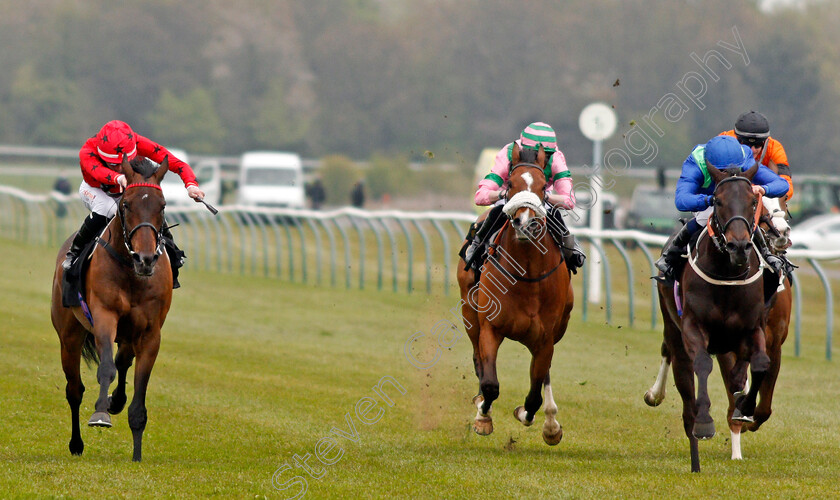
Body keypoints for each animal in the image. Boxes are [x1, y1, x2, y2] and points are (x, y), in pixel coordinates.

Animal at [49, 155, 174, 460]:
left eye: (162, 206)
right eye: (126, 204)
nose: (145, 259)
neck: (131, 271)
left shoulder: (150, 333)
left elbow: (139, 389)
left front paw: (137, 453)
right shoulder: (104, 317)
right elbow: (106, 368)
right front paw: (100, 415)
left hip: (129, 335)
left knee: (123, 360)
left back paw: (116, 401)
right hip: (69, 335)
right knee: (74, 389)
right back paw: (77, 443)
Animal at [452, 143, 576, 444]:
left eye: (543, 187)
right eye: (510, 183)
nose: (525, 223)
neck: (527, 275)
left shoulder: (545, 339)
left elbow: (533, 397)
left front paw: (535, 419)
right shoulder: (490, 327)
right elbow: (490, 384)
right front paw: (482, 417)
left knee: (544, 377)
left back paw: (551, 423)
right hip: (468, 313)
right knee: (477, 360)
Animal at [644, 163, 788, 472]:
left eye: (753, 201)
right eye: (718, 201)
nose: (739, 246)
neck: (727, 274)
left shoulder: (754, 329)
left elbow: (759, 366)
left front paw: (745, 408)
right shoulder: (694, 328)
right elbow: (702, 365)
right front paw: (706, 423)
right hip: (673, 328)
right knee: (682, 378)